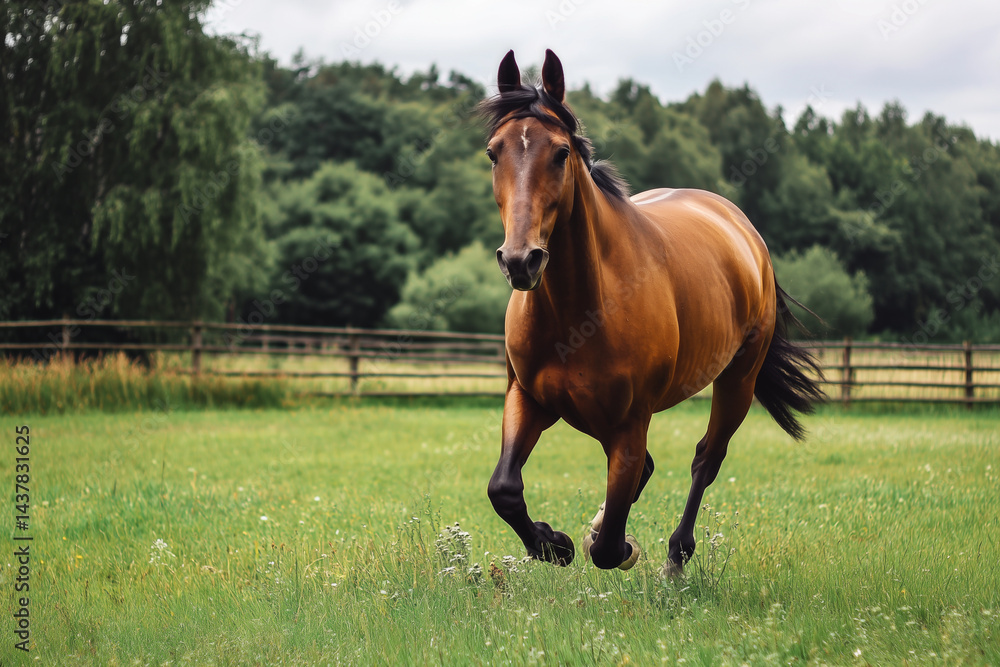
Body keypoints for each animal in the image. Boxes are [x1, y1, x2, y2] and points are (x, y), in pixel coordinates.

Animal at [479, 49, 824, 576]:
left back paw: (676, 557)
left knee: (705, 459)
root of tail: (743, 229)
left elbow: (607, 547)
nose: (521, 261)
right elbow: (504, 489)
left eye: (561, 153)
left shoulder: (629, 423)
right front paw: (554, 543)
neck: (578, 315)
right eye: (494, 153)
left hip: (737, 382)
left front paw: (612, 546)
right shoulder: (528, 398)